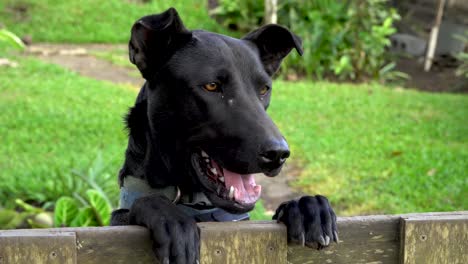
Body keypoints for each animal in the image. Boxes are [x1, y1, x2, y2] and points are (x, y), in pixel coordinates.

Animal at [109, 7, 336, 262]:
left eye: (264, 89)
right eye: (211, 86)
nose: (279, 154)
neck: (197, 206)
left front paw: (309, 208)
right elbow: (146, 203)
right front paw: (171, 218)